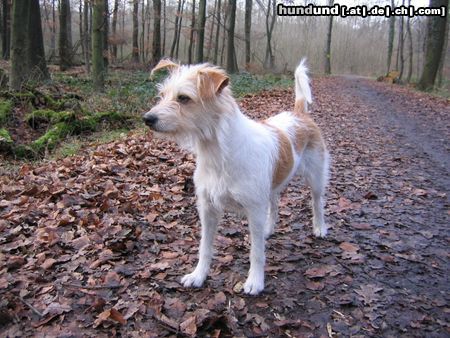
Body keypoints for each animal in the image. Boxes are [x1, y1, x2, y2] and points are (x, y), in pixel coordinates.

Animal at [144, 59, 330, 294]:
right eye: (162, 94)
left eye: (183, 98)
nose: (147, 119)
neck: (218, 154)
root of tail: (299, 114)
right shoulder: (208, 209)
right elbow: (205, 247)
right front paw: (198, 275)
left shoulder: (254, 210)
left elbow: (257, 252)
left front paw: (255, 281)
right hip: (271, 186)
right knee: (275, 204)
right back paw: (269, 229)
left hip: (315, 178)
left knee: (317, 202)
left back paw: (319, 227)